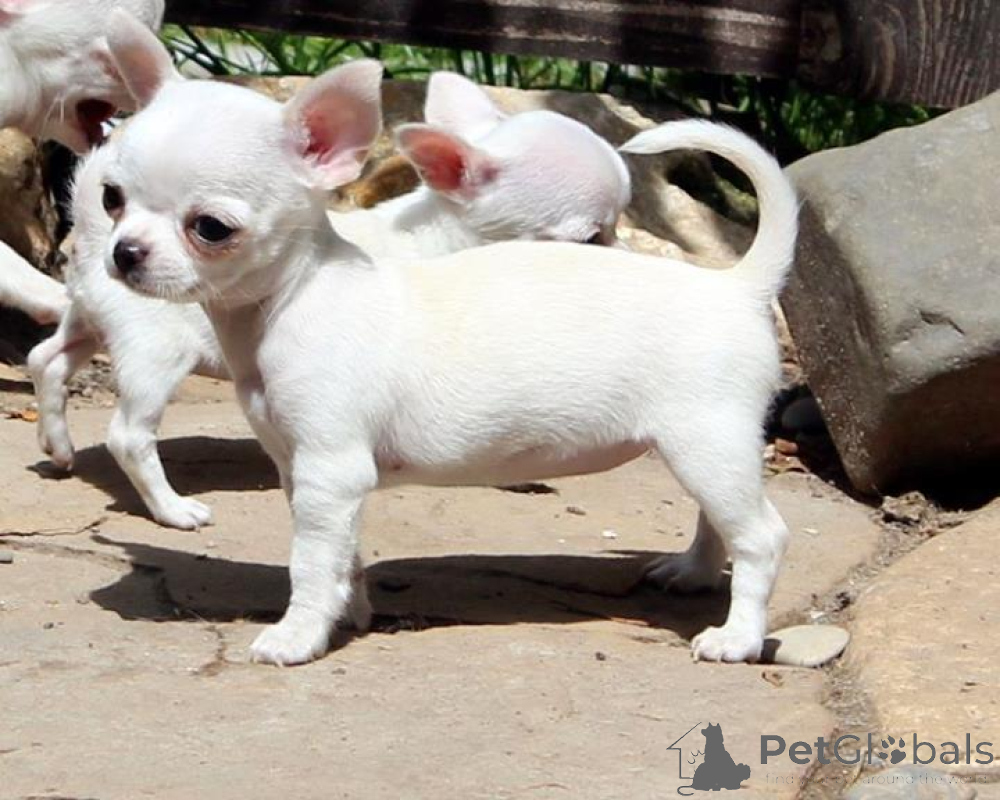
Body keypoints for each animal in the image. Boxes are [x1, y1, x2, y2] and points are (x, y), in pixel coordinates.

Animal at [28, 68, 631, 529]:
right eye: (592, 237)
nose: (627, 253)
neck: (445, 239)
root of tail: (101, 226)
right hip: (155, 350)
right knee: (129, 435)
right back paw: (173, 509)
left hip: (90, 318)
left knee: (45, 359)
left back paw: (58, 448)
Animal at [97, 13, 796, 667]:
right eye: (110, 199)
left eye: (211, 228)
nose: (123, 253)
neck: (293, 299)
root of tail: (736, 284)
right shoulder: (306, 473)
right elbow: (341, 556)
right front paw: (351, 612)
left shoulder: (330, 470)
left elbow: (309, 564)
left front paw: (297, 635)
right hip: (703, 450)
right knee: (720, 520)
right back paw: (694, 573)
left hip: (705, 441)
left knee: (762, 536)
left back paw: (737, 637)